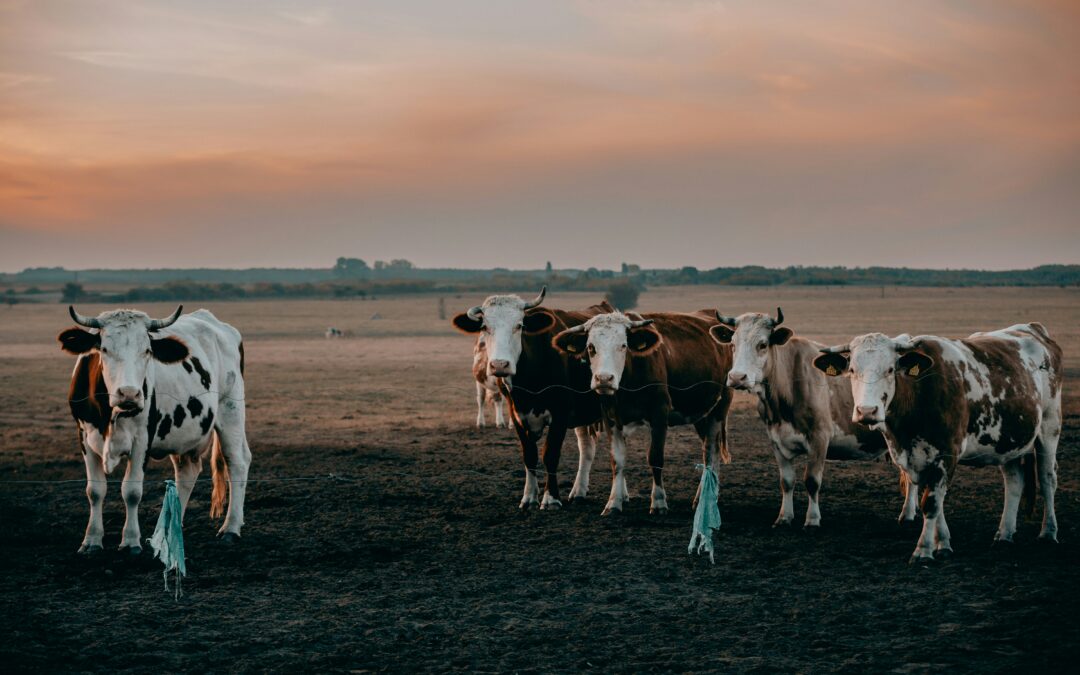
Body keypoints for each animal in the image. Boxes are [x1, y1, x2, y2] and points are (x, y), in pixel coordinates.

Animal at [60, 304, 251, 552]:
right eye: (104, 349)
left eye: (147, 351)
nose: (129, 393)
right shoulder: (84, 436)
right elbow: (94, 491)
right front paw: (91, 540)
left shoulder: (142, 439)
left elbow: (131, 491)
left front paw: (130, 541)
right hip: (184, 433)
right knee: (187, 473)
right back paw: (172, 530)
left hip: (231, 412)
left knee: (237, 462)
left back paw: (231, 528)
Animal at [451, 287, 613, 507]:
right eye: (484, 326)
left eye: (519, 325)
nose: (500, 365)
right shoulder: (517, 414)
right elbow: (529, 455)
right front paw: (528, 497)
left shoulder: (560, 414)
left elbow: (550, 454)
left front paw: (551, 498)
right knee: (587, 448)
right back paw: (578, 491)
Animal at [548, 311, 734, 516]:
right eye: (591, 347)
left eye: (623, 345)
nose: (604, 379)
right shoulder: (611, 418)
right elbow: (617, 461)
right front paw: (613, 504)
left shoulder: (660, 414)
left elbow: (655, 457)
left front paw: (659, 502)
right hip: (701, 414)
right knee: (712, 451)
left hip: (719, 409)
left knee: (710, 453)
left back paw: (703, 498)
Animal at [708, 308, 902, 529]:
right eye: (732, 344)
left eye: (762, 344)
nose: (737, 377)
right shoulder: (776, 440)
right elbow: (786, 481)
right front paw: (784, 517)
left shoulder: (819, 438)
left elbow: (812, 480)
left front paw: (812, 519)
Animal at [816, 324, 1062, 561]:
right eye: (852, 370)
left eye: (890, 369)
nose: (867, 411)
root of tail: (1034, 329)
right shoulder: (915, 457)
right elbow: (935, 499)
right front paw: (942, 544)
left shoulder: (946, 453)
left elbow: (932, 502)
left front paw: (923, 550)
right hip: (1008, 442)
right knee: (1014, 481)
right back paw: (1004, 535)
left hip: (1049, 427)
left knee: (1047, 478)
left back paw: (1048, 533)